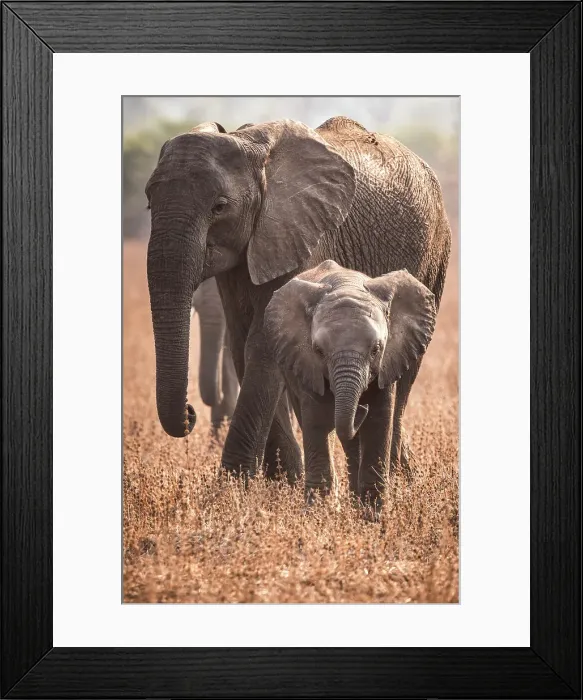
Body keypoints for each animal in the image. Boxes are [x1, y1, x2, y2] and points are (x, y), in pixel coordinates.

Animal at [264, 261, 436, 509]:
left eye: (376, 349)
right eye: (318, 351)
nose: (361, 407)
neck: (347, 285)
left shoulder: (388, 361)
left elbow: (379, 422)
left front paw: (373, 515)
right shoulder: (307, 365)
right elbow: (316, 421)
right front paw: (319, 513)